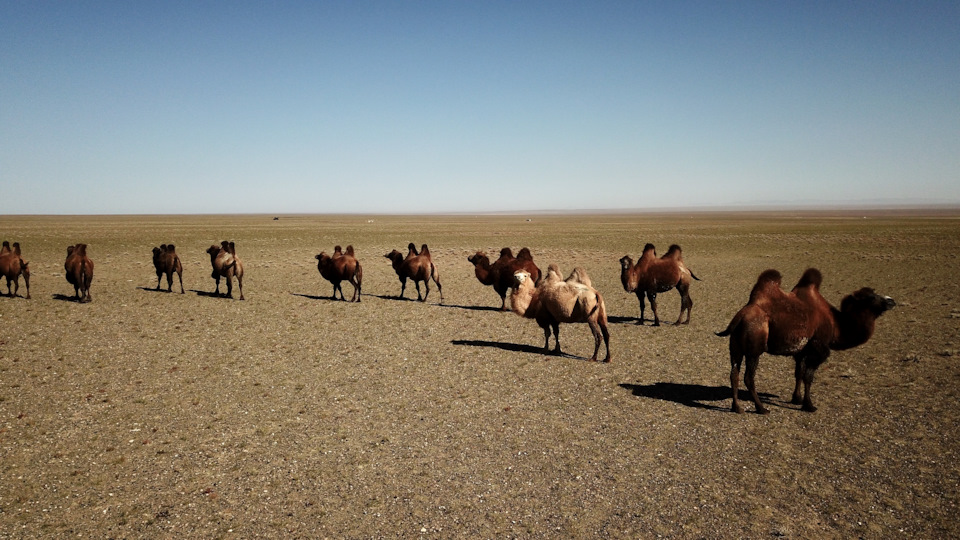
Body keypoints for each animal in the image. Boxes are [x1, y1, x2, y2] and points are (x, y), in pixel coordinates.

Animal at [716, 268, 896, 414]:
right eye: (871, 297)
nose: (891, 300)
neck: (836, 324)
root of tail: (740, 316)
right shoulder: (819, 348)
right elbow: (809, 377)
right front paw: (809, 405)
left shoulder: (801, 351)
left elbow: (799, 373)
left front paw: (797, 399)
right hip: (754, 349)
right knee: (748, 377)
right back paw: (762, 409)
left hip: (735, 347)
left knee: (734, 373)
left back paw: (737, 407)